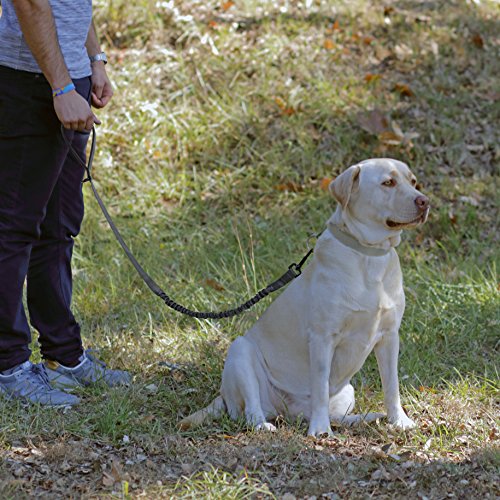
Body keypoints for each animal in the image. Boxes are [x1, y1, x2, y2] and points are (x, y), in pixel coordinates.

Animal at [180, 158, 430, 436]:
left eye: (413, 181)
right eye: (388, 182)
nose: (424, 201)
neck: (368, 254)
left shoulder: (389, 336)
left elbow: (391, 386)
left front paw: (399, 421)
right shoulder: (322, 337)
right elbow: (320, 387)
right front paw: (320, 431)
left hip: (347, 390)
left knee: (336, 415)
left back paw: (365, 417)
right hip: (240, 353)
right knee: (250, 411)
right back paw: (265, 425)